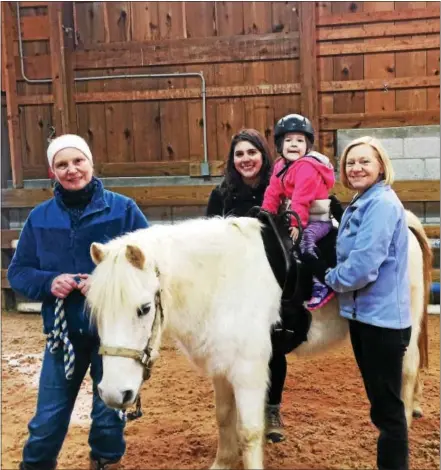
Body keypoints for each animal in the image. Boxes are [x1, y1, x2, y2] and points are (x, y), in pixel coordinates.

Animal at [86, 211, 430, 468]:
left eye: (144, 308)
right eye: (96, 310)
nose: (113, 393)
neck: (220, 280)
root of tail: (406, 222)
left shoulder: (248, 372)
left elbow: (249, 431)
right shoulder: (220, 367)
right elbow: (224, 418)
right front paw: (222, 463)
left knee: (408, 372)